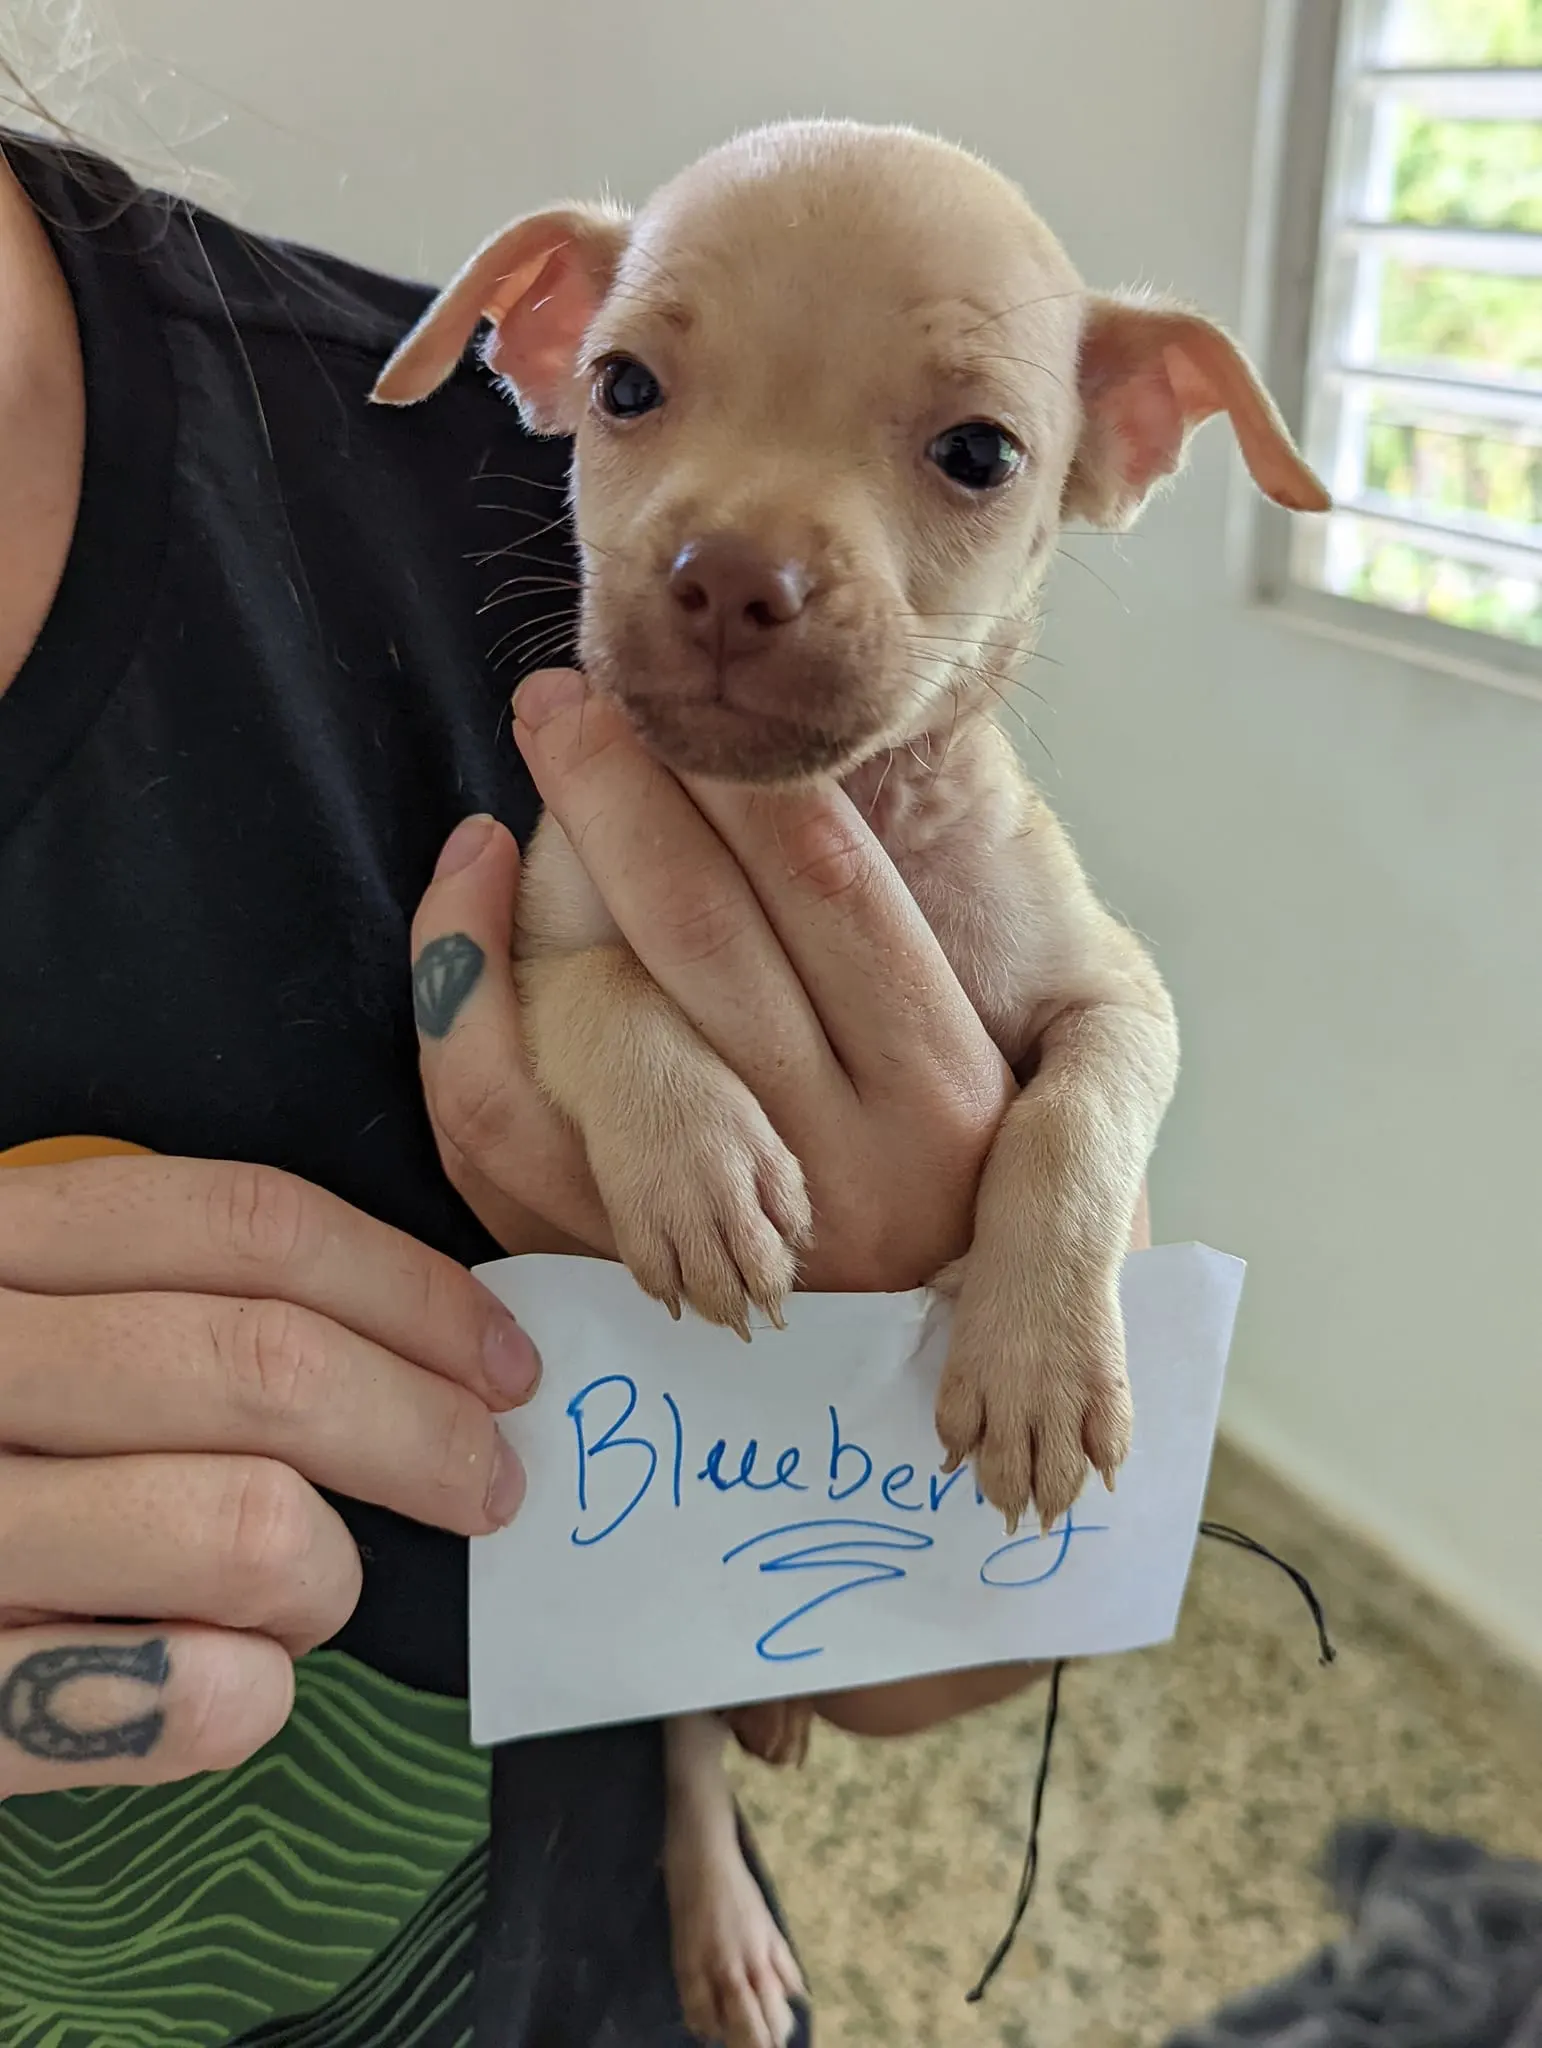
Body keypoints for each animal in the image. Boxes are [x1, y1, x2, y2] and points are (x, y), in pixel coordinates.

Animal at [376, 119, 1326, 2039]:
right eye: (623, 388)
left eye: (979, 454)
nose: (731, 572)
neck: (857, 817)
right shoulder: (539, 948)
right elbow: (616, 1003)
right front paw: (695, 1164)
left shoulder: (1120, 996)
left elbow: (1071, 1116)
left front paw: (1036, 1353)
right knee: (675, 1749)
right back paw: (725, 1902)